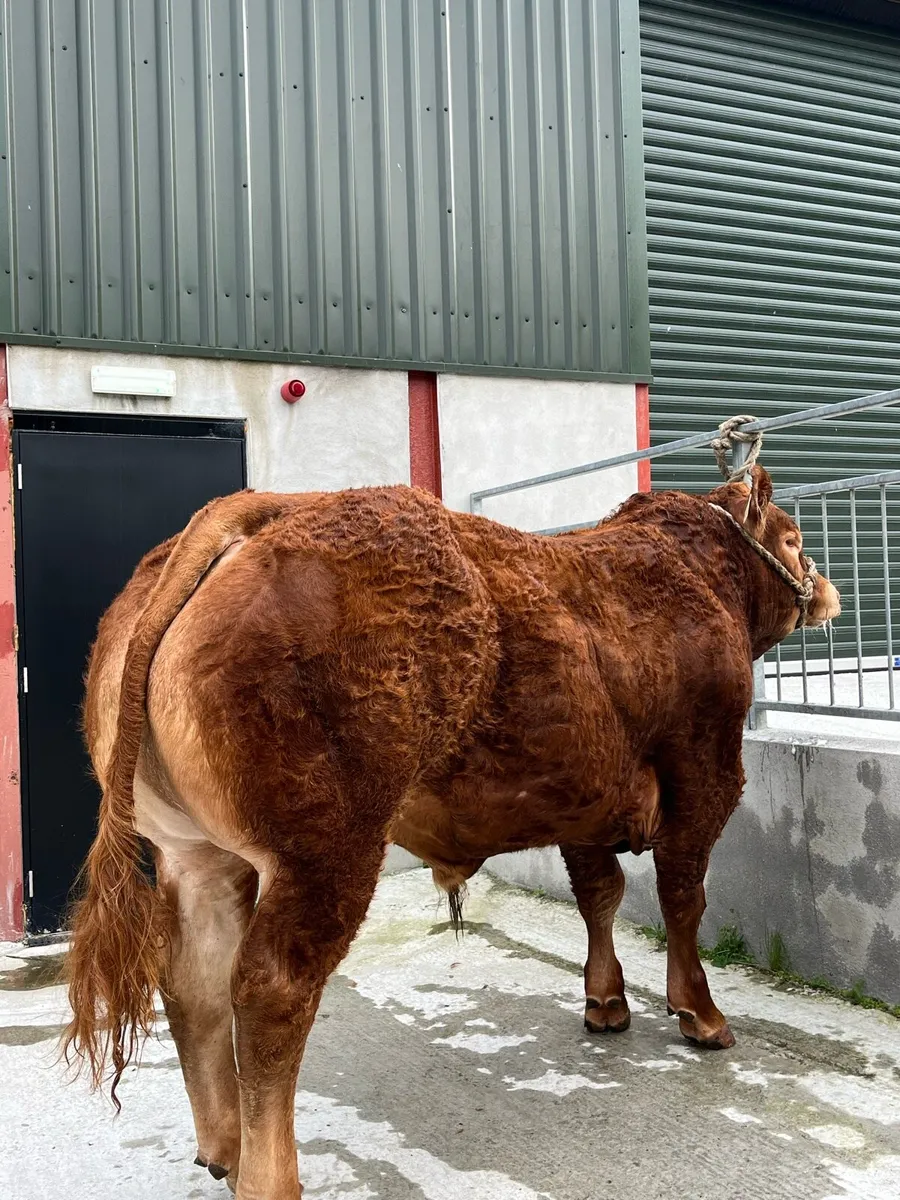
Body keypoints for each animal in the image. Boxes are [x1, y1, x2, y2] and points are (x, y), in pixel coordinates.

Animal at [62, 465, 839, 1199]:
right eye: (794, 537)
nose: (824, 587)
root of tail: (258, 510)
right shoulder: (706, 773)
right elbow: (683, 897)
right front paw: (700, 1014)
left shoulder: (586, 793)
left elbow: (600, 895)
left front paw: (605, 1001)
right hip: (324, 850)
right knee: (268, 989)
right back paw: (268, 1176)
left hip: (194, 855)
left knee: (190, 981)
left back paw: (223, 1146)